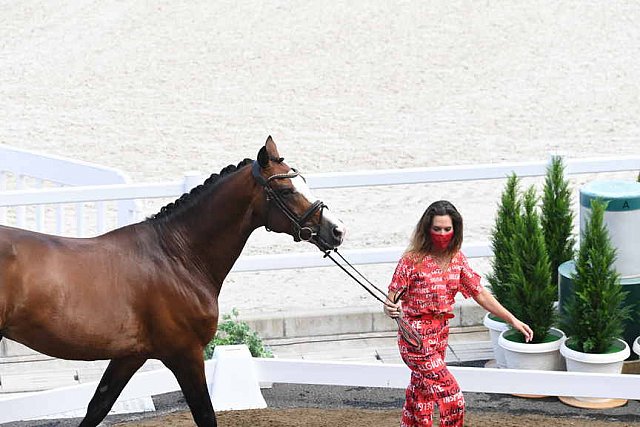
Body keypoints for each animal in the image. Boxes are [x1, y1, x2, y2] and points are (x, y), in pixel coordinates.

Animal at [0, 138, 344, 427]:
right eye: (286, 190)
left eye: (303, 182)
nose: (336, 230)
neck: (176, 256)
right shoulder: (185, 354)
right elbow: (205, 415)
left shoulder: (130, 355)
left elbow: (97, 407)